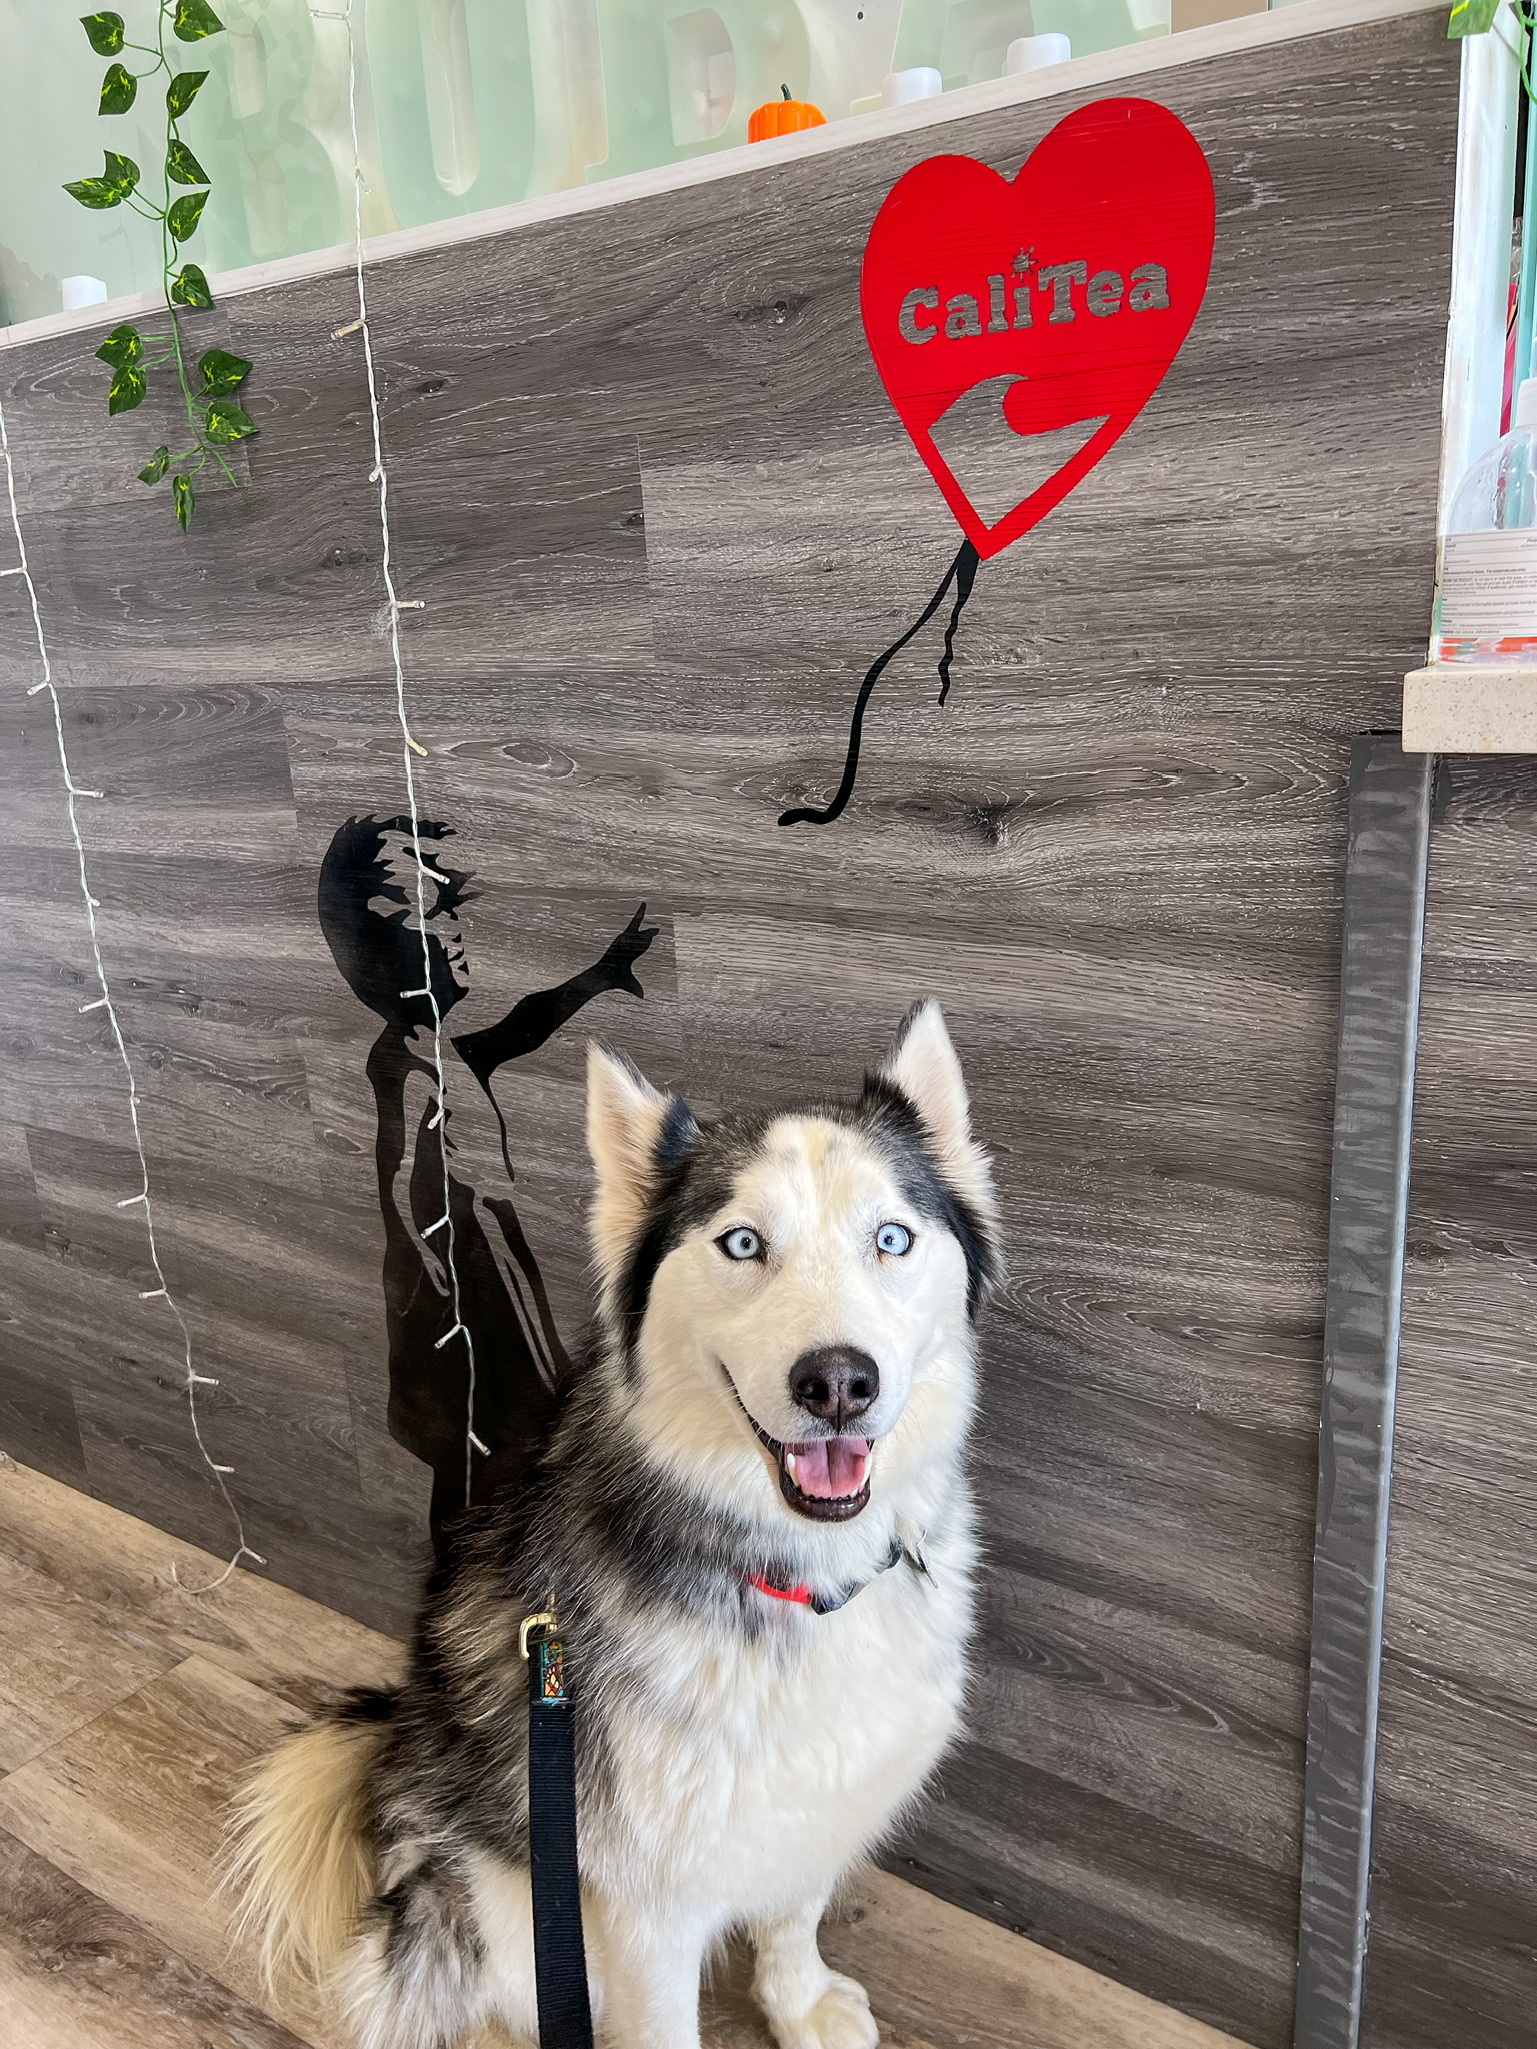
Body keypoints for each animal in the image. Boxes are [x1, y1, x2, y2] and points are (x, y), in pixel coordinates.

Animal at [228, 1004, 1000, 2049]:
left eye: (891, 1237)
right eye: (742, 1244)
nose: (839, 1382)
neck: (799, 1575)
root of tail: (399, 1756)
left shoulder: (815, 1801)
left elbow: (793, 1909)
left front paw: (796, 2001)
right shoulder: (642, 1908)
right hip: (502, 1907)